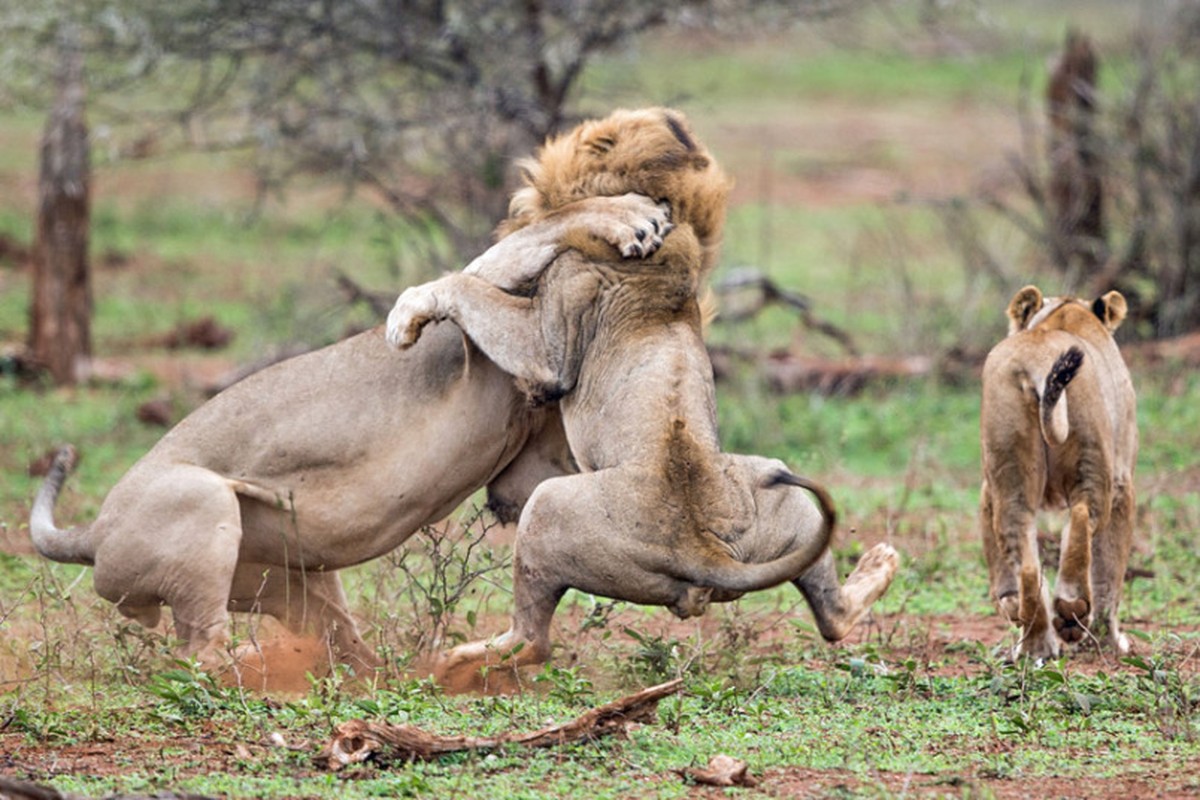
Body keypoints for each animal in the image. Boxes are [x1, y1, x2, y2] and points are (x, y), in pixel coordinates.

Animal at [30, 191, 676, 671]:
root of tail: (92, 532)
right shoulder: (467, 340)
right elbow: (538, 228)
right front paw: (635, 215)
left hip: (293, 582)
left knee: (331, 642)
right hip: (201, 498)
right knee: (200, 653)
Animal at [386, 104, 902, 690]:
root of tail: (705, 551)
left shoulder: (547, 347)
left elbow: (467, 286)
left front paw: (407, 315)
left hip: (549, 507)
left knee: (532, 640)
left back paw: (453, 661)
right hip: (783, 498)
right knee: (834, 616)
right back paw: (881, 563)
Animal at [979, 284, 1137, 662]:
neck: (1065, 313)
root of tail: (1037, 356)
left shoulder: (986, 486)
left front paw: (1011, 606)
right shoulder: (1124, 481)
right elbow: (1110, 572)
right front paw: (1111, 641)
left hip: (1008, 462)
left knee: (1023, 554)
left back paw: (1035, 644)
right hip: (1094, 458)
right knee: (1083, 514)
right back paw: (1071, 609)